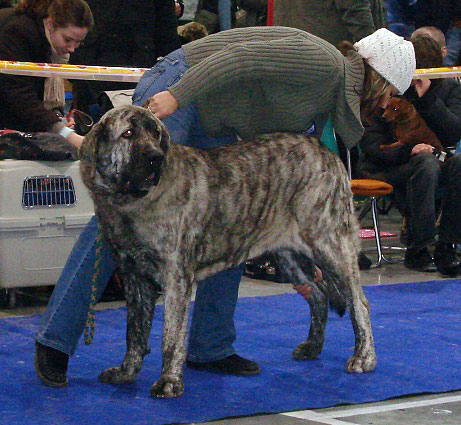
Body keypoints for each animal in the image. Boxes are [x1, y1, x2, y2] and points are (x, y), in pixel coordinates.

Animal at [79, 104, 376, 396]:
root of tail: (326, 151)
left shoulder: (175, 278)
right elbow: (134, 333)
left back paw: (364, 357)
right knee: (318, 294)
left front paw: (169, 382)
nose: (155, 158)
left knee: (358, 302)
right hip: (289, 256)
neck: (130, 202)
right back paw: (313, 346)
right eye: (128, 133)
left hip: (329, 244)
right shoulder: (134, 278)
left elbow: (171, 336)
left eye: (156, 135)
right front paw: (126, 371)